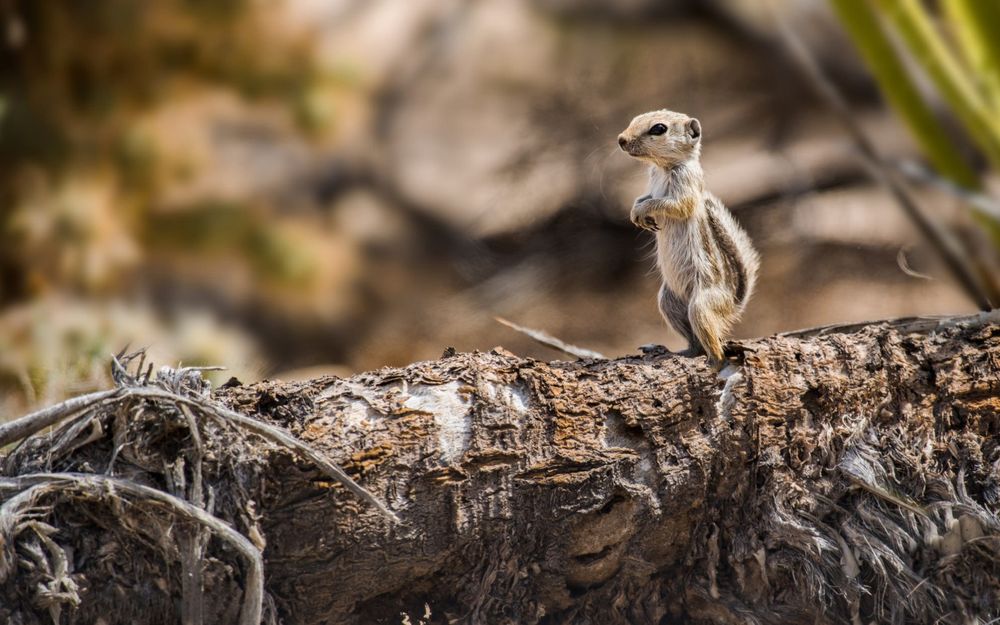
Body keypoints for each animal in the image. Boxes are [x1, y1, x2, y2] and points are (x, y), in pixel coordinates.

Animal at [616, 110, 756, 368]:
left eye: (659, 128)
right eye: (634, 119)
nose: (621, 140)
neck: (662, 167)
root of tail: (731, 305)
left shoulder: (686, 186)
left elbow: (673, 204)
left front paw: (644, 210)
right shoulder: (651, 184)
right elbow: (645, 197)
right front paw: (635, 212)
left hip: (701, 306)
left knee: (714, 345)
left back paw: (714, 361)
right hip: (668, 301)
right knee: (695, 344)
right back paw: (677, 352)